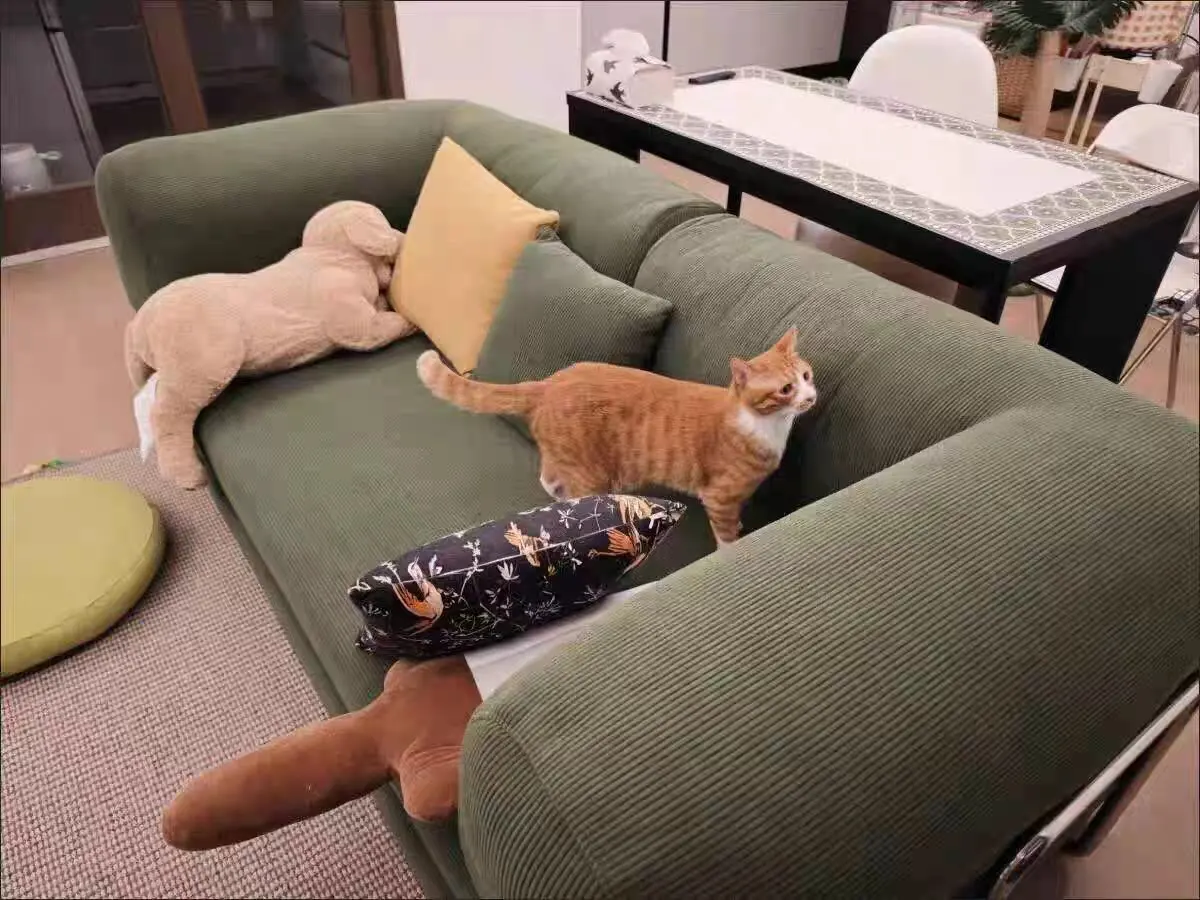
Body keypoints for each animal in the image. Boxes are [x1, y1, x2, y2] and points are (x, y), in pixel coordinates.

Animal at [416, 329, 816, 546]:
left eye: (807, 376)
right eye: (785, 389)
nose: (811, 397)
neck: (766, 425)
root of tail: (550, 382)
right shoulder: (720, 497)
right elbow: (726, 535)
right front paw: (733, 547)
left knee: (548, 476)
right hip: (591, 474)